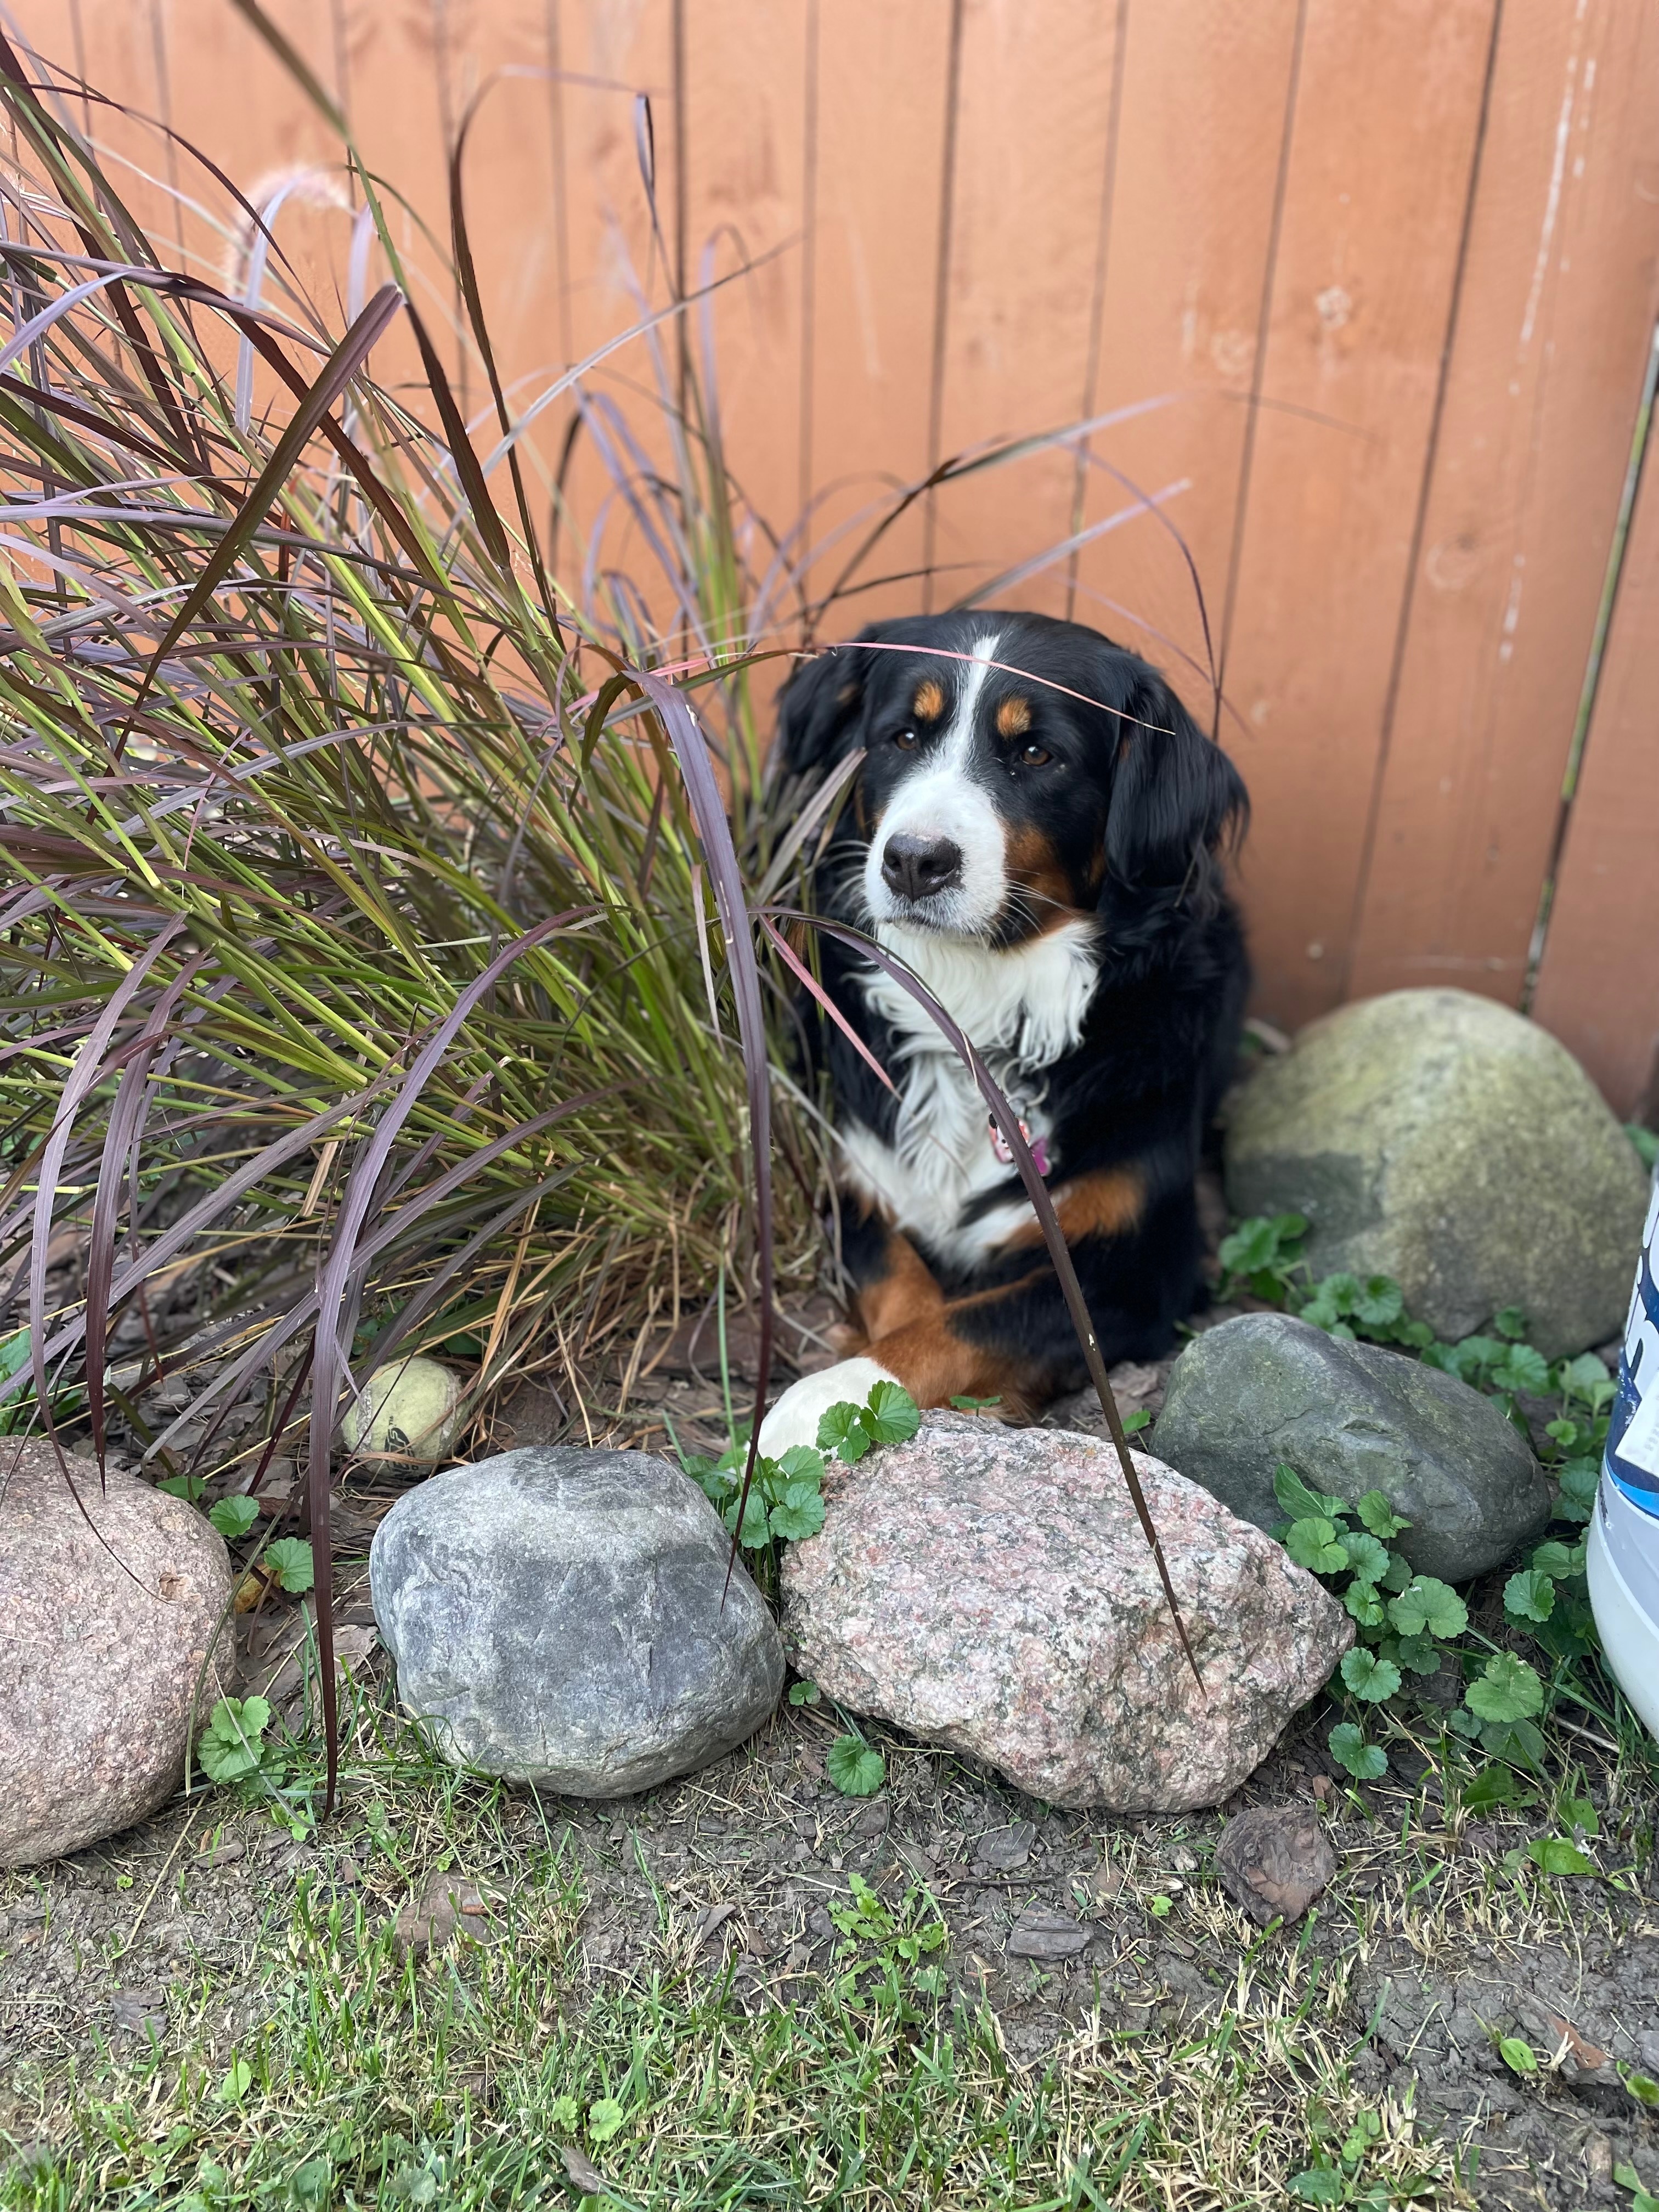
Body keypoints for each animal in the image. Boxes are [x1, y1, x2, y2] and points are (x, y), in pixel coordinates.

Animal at [757, 610, 1249, 1456]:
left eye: (1036, 754)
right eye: (903, 738)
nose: (914, 861)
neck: (974, 1006)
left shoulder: (1141, 1268)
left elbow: (975, 1321)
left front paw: (825, 1397)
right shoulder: (855, 1176)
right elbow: (906, 1282)